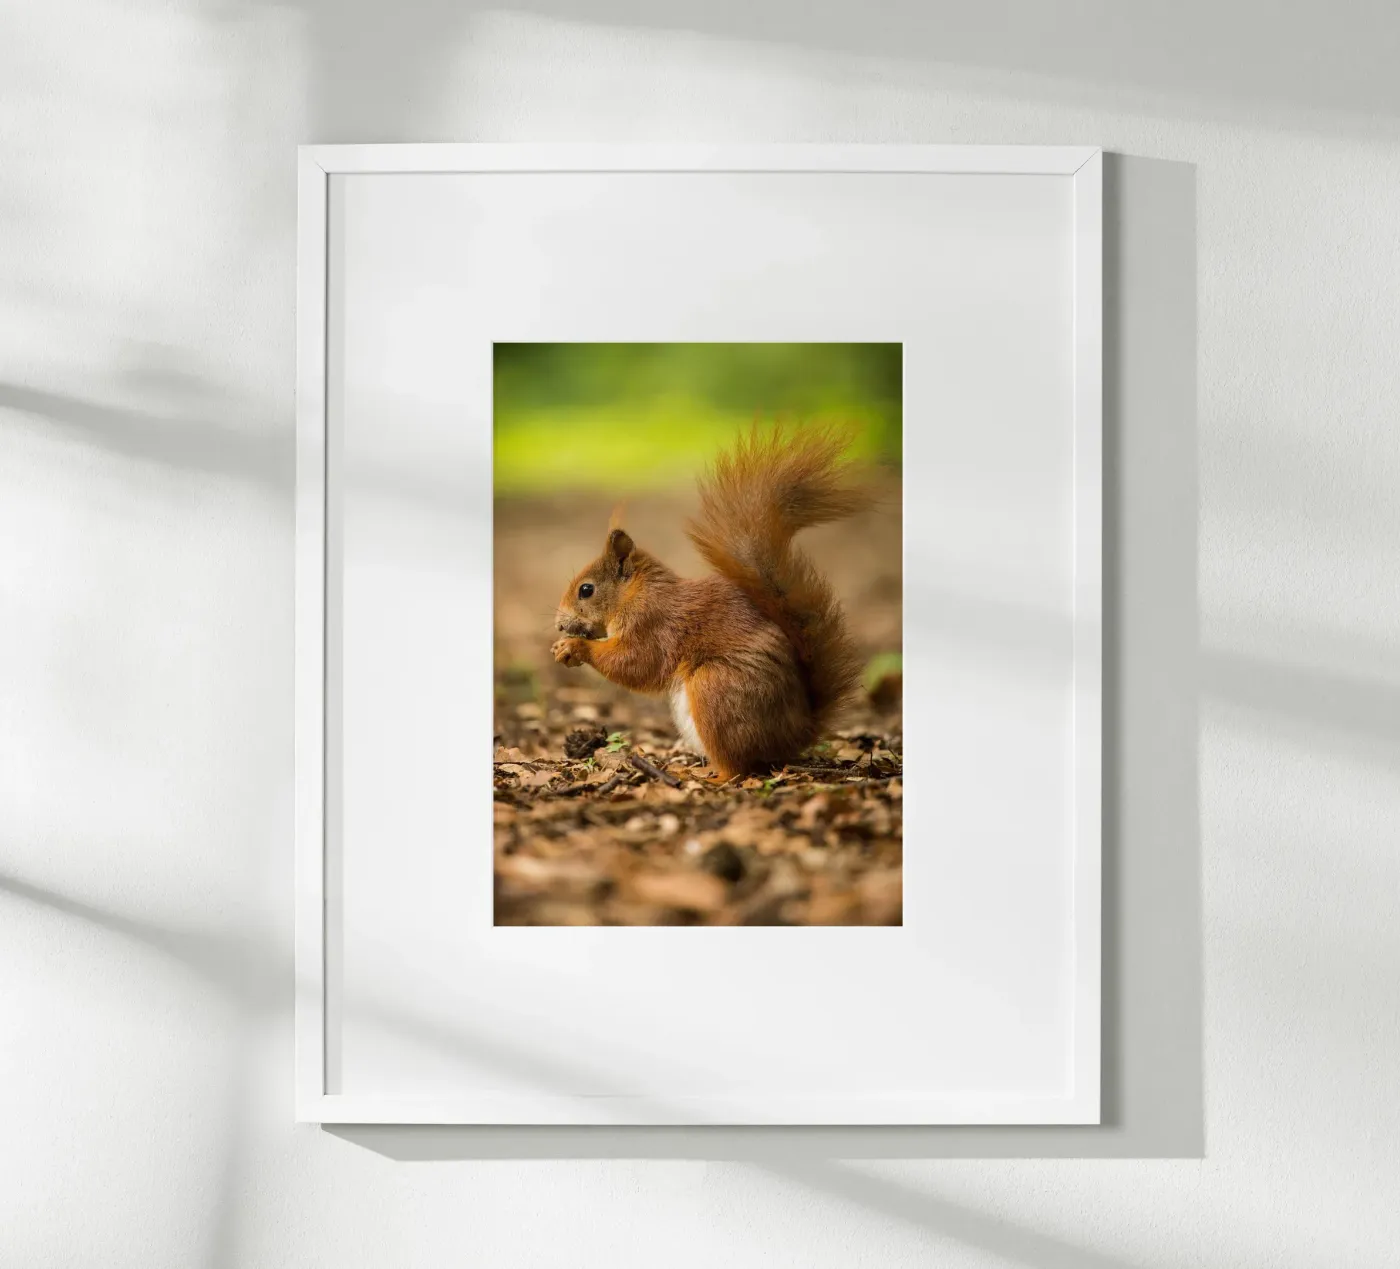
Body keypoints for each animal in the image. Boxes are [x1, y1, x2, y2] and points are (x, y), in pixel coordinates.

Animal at [550, 426, 869, 781]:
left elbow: (636, 662)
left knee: (737, 768)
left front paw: (574, 647)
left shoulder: (653, 624)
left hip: (715, 688)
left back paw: (704, 776)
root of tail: (796, 733)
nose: (560, 624)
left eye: (586, 590)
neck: (636, 593)